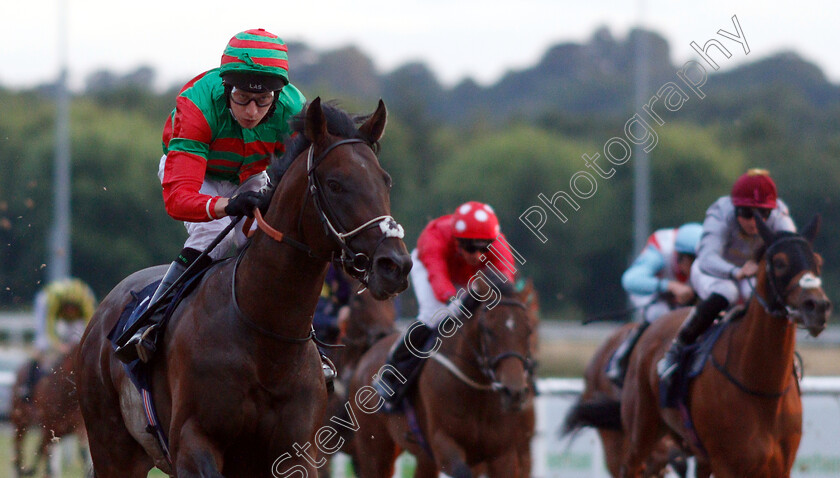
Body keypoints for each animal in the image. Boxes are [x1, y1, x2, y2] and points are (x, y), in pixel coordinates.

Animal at [77, 98, 412, 478]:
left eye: (385, 181)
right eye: (335, 183)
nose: (395, 266)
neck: (265, 337)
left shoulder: (298, 449)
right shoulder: (193, 442)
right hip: (112, 448)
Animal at [348, 274, 540, 476]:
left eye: (528, 330)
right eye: (488, 330)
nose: (514, 392)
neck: (477, 391)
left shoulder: (504, 454)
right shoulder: (443, 445)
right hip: (374, 450)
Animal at [612, 218, 832, 478]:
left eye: (817, 261)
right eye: (779, 263)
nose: (817, 306)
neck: (762, 388)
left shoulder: (780, 466)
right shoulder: (728, 464)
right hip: (642, 430)